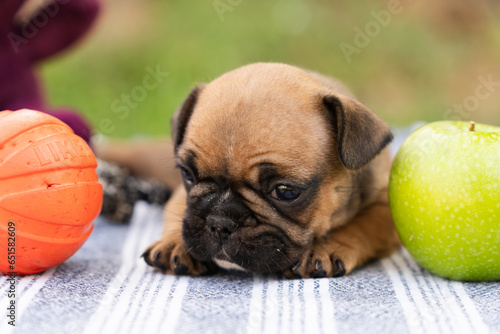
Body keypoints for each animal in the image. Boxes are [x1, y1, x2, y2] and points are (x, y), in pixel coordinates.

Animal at [142, 62, 402, 276]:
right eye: (187, 174)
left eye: (286, 191)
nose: (219, 222)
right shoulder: (181, 193)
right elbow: (179, 210)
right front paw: (173, 243)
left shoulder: (385, 206)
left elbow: (362, 225)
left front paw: (326, 247)